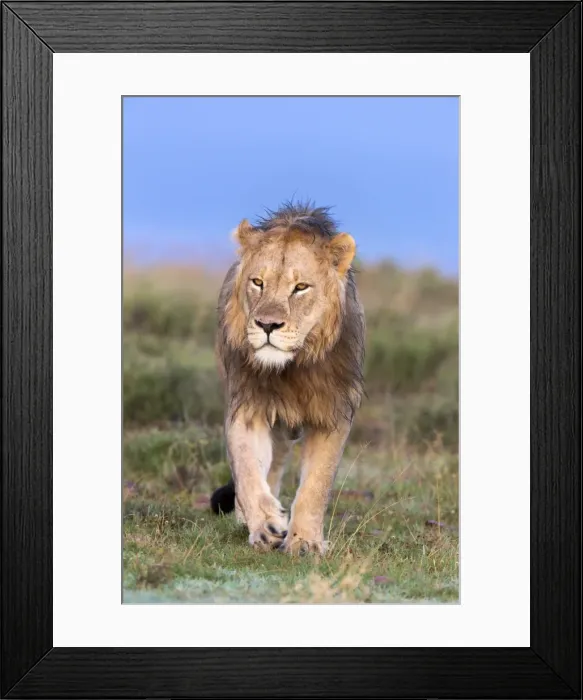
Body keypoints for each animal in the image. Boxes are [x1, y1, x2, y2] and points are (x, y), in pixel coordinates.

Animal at [210, 202, 365, 555]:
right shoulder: (248, 405)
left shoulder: (332, 413)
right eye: (257, 282)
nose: (267, 325)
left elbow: (316, 485)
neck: (291, 369)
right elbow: (247, 469)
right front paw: (266, 525)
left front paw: (305, 541)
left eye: (300, 287)